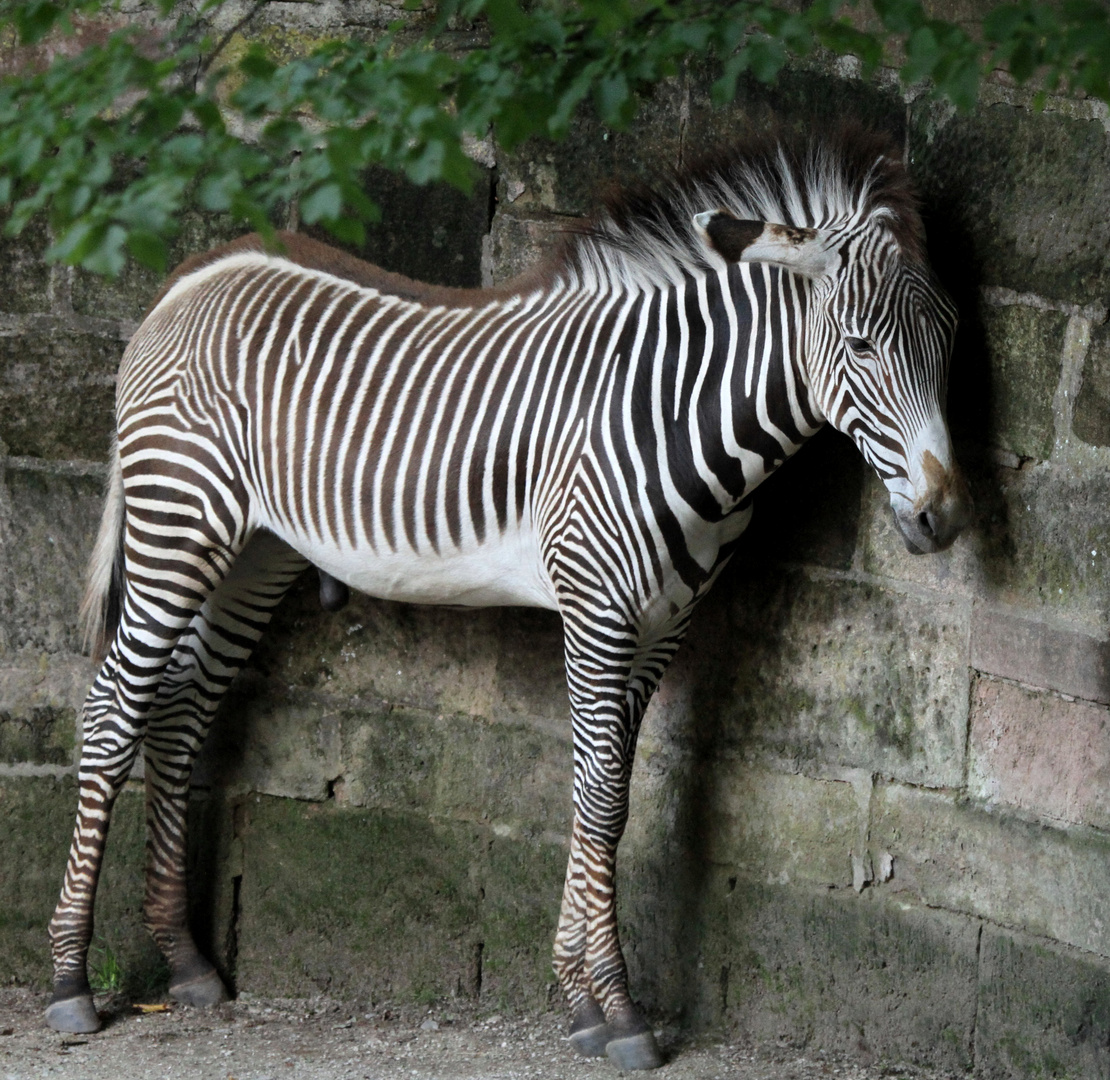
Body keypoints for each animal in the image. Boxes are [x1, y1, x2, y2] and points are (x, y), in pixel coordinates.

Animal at [43, 128, 967, 1070]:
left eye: (952, 337)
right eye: (859, 345)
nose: (944, 517)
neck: (668, 414)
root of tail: (199, 272)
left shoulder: (666, 622)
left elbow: (603, 793)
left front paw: (579, 1000)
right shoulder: (599, 609)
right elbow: (604, 798)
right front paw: (620, 1012)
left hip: (252, 553)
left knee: (178, 712)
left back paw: (186, 961)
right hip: (176, 527)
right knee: (112, 713)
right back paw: (70, 980)